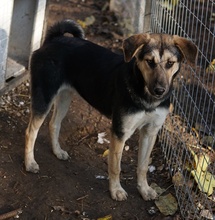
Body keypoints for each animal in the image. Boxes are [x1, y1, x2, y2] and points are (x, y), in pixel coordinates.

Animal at [24, 20, 197, 201]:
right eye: (150, 61)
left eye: (170, 63)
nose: (159, 90)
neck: (147, 98)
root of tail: (54, 39)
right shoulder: (120, 132)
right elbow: (116, 167)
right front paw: (116, 190)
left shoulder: (150, 131)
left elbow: (143, 166)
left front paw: (144, 189)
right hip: (44, 96)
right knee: (30, 132)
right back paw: (30, 163)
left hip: (65, 96)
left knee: (54, 124)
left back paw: (57, 151)